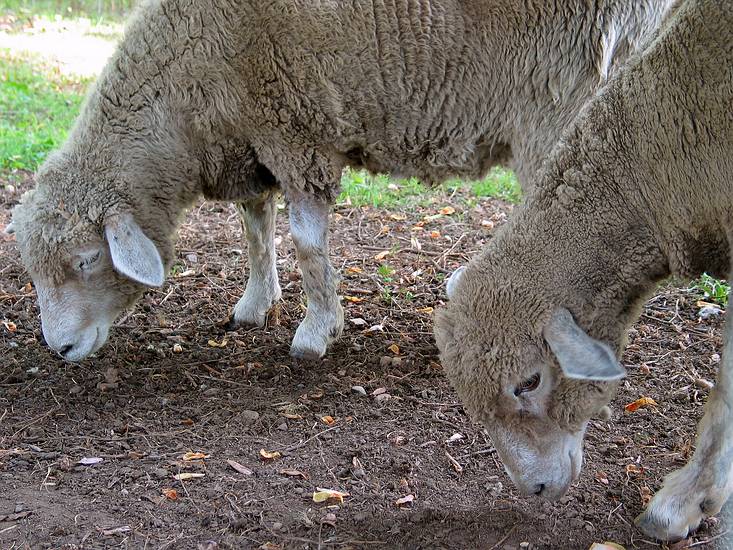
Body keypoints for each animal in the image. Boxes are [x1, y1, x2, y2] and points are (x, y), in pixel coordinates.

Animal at [11, 0, 676, 362]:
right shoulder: (253, 137)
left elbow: (309, 245)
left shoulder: (296, 129)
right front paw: (256, 303)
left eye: (87, 261)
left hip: (562, 94)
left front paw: (316, 329)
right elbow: (255, 229)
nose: (58, 349)